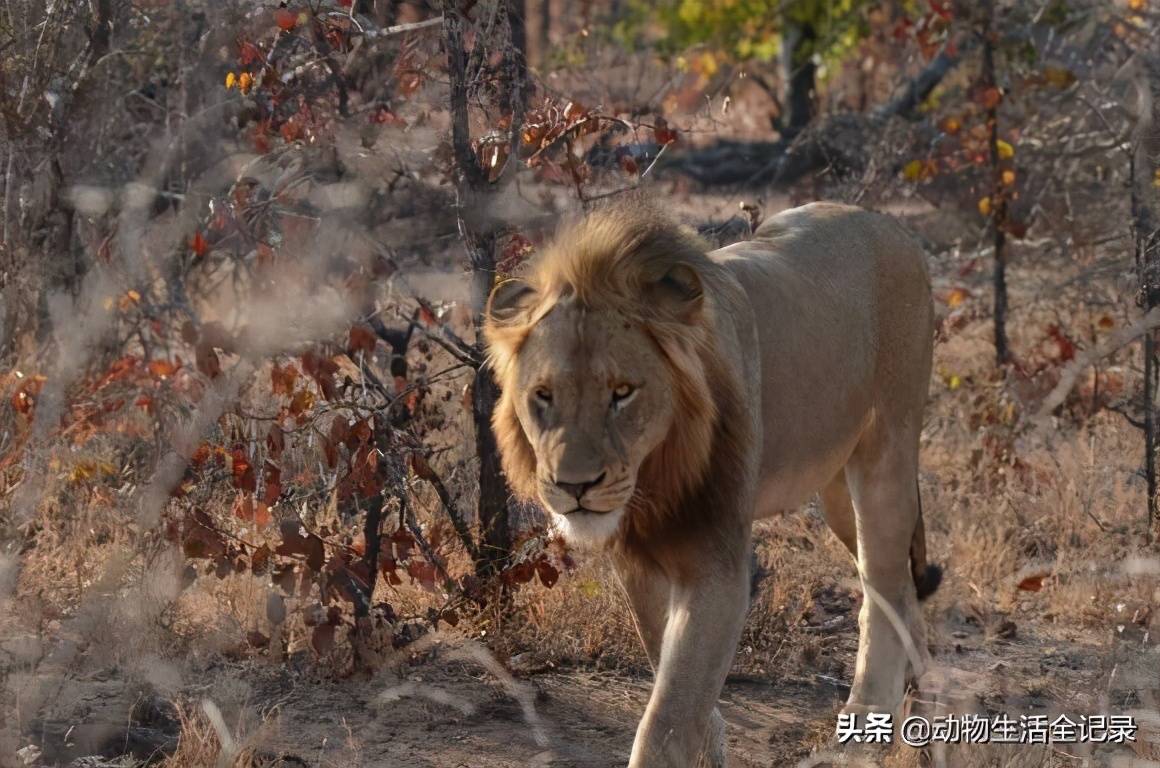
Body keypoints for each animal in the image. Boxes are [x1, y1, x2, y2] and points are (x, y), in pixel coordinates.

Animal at [482, 201, 941, 765]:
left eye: (622, 392)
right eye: (543, 395)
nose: (575, 485)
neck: (656, 476)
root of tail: (888, 223)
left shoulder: (717, 565)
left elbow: (668, 714)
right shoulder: (637, 561)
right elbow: (669, 665)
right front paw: (710, 744)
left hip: (887, 450)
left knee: (885, 582)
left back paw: (869, 719)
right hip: (836, 488)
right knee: (900, 590)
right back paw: (919, 714)